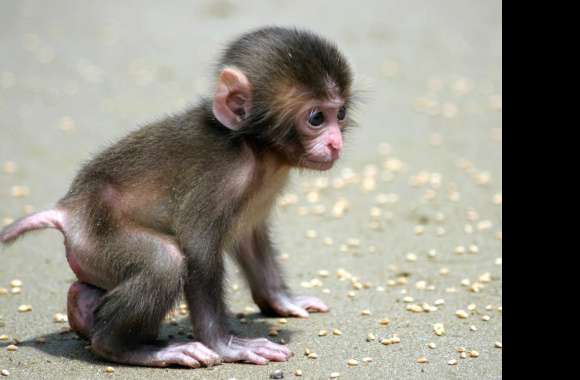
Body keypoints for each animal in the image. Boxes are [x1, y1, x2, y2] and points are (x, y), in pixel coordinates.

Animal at [0, 26, 356, 368]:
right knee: (165, 261)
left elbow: (249, 238)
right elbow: (197, 248)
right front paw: (226, 346)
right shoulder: (221, 179)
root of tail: (68, 210)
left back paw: (81, 309)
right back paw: (128, 349)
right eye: (316, 118)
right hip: (96, 236)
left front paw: (282, 301)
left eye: (339, 114)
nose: (335, 143)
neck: (255, 148)